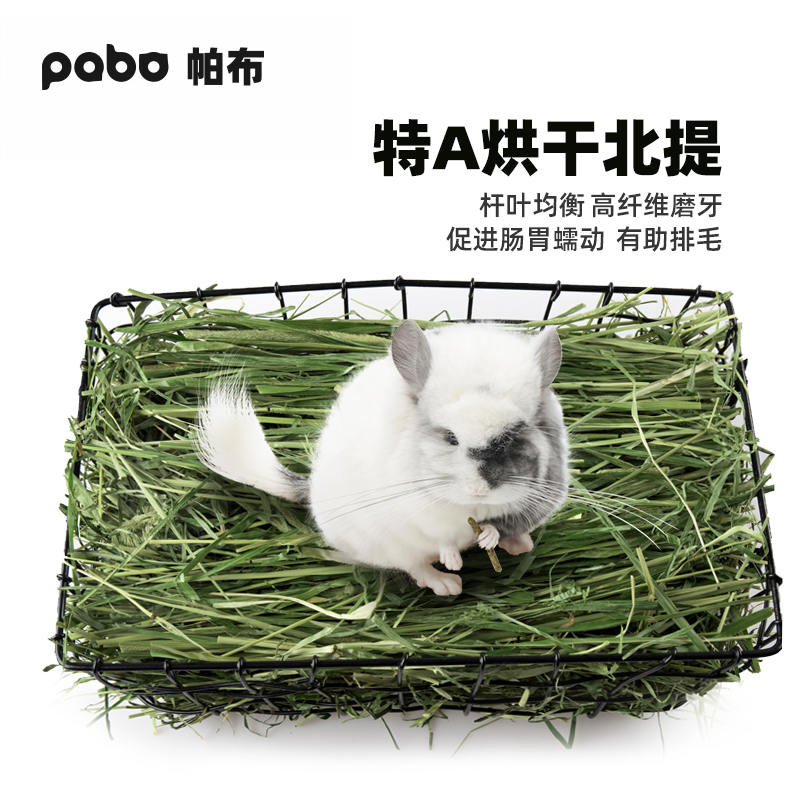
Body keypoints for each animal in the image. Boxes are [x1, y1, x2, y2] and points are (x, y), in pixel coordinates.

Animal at [195, 320, 569, 596]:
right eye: (450, 437)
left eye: (514, 434)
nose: (481, 491)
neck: (468, 509)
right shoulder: (421, 513)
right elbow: (442, 539)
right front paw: (453, 561)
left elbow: (500, 522)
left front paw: (491, 536)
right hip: (391, 547)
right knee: (417, 567)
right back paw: (448, 583)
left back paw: (519, 545)